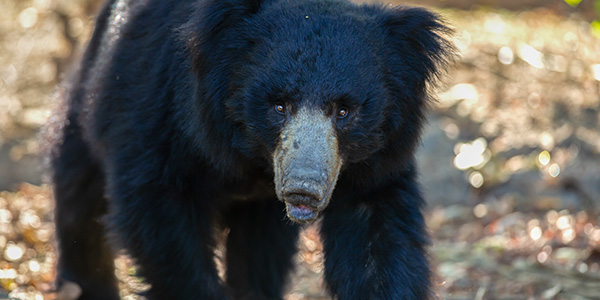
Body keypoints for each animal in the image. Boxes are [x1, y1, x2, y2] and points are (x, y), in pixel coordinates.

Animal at [51, 0, 452, 298]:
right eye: (279, 106)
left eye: (344, 111)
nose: (304, 189)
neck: (255, 161)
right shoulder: (161, 114)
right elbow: (158, 214)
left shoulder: (373, 160)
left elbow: (375, 235)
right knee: (78, 193)